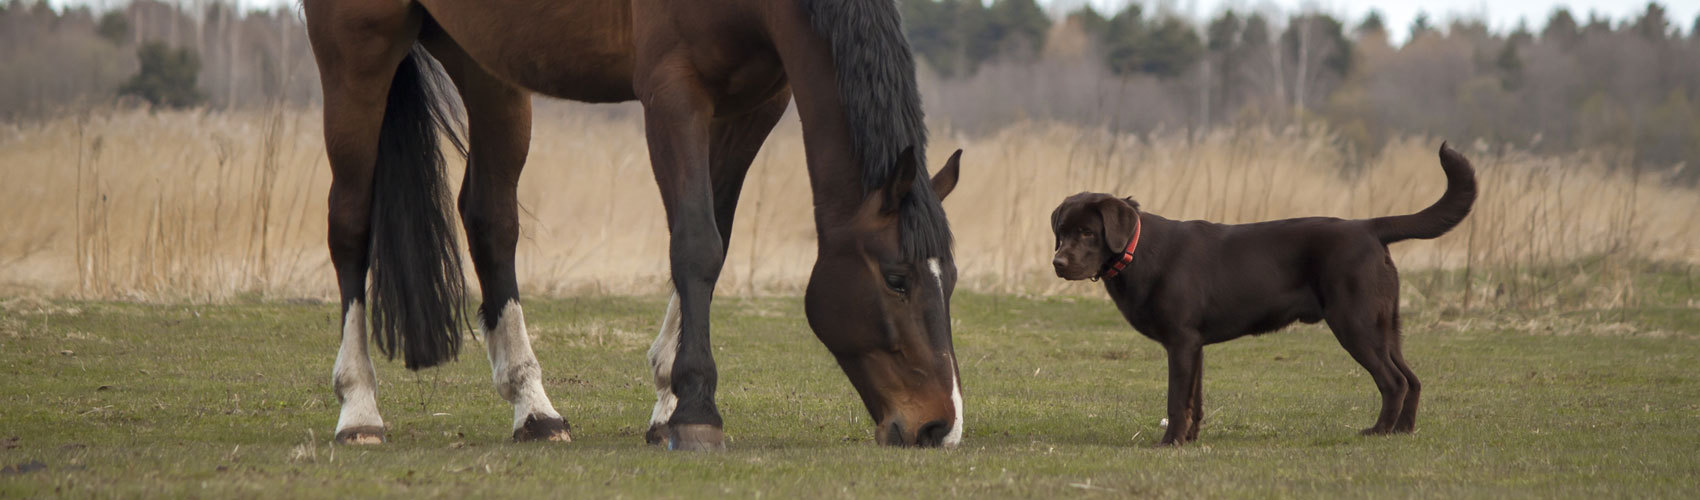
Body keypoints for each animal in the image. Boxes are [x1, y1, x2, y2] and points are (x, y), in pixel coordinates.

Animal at [304, 0, 965, 450]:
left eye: (951, 281)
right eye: (897, 279)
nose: (940, 424)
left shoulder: (755, 103)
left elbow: (714, 240)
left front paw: (669, 401)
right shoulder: (673, 92)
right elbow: (695, 242)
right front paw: (696, 410)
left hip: (488, 64)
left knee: (491, 220)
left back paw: (533, 409)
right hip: (357, 50)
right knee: (350, 222)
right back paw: (359, 410)